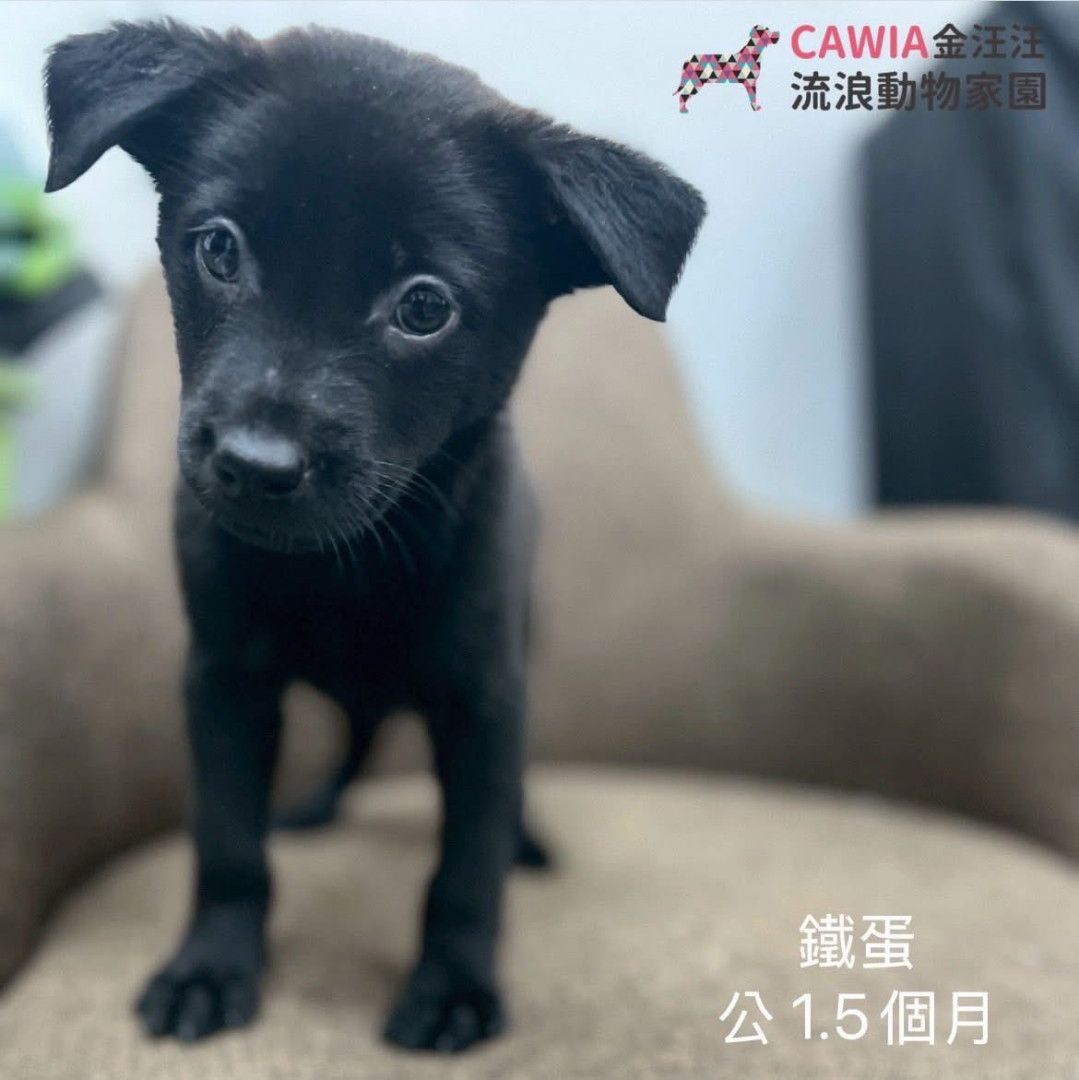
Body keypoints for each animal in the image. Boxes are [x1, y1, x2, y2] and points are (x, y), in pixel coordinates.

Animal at [43, 19, 704, 1052]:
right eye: (219, 249)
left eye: (424, 306)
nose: (255, 464)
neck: (346, 563)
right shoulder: (224, 680)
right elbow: (227, 841)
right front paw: (210, 968)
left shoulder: (482, 697)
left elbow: (466, 866)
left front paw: (454, 988)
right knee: (353, 740)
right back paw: (315, 809)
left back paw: (526, 842)